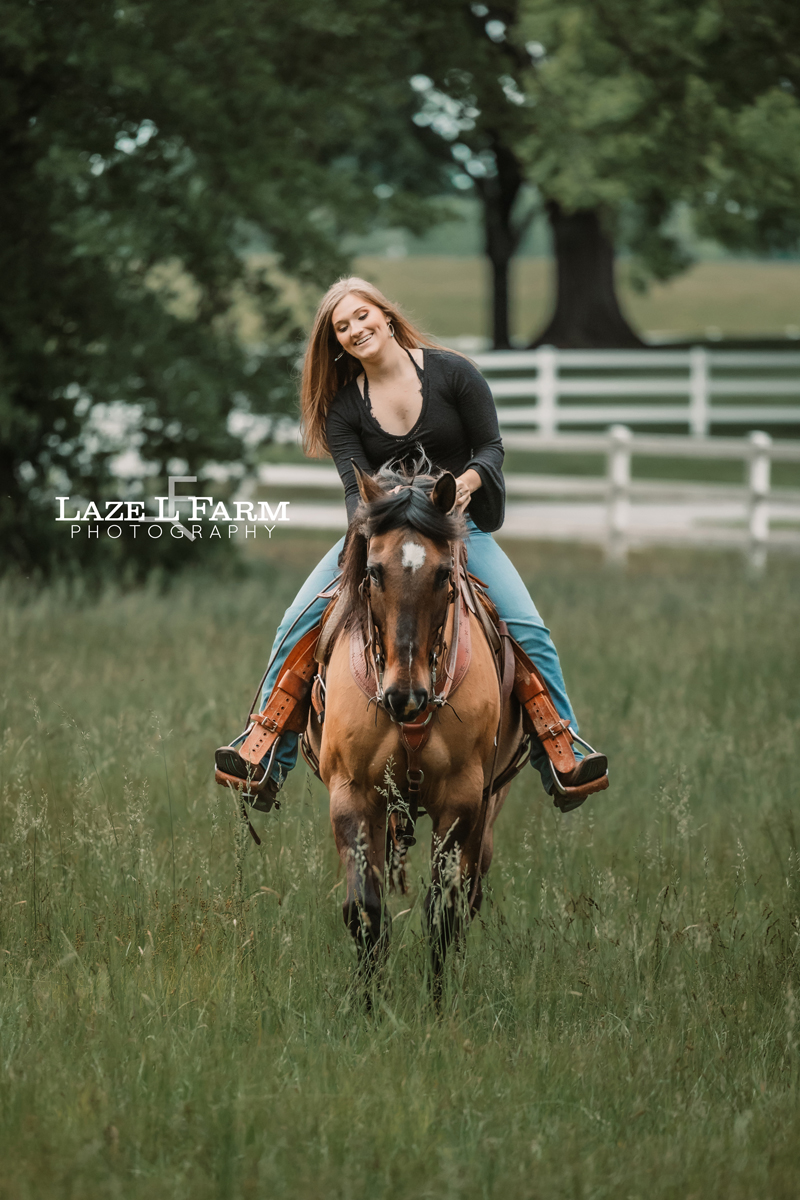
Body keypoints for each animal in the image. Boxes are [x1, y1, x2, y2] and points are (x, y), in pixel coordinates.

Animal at [302, 462, 527, 987]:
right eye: (373, 571)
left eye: (445, 574)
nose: (405, 696)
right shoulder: (352, 794)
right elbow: (365, 912)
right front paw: (368, 1001)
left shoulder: (463, 801)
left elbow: (442, 916)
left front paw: (440, 1003)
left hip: (490, 808)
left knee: (468, 896)